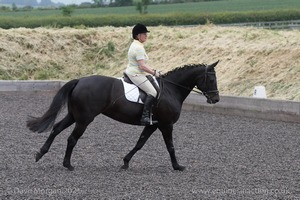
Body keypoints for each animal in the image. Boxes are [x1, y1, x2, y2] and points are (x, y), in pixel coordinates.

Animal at [27, 61, 220, 170]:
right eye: (211, 79)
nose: (216, 99)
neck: (171, 89)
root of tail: (80, 80)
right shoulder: (166, 124)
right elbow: (170, 146)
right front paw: (177, 166)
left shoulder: (153, 125)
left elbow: (140, 143)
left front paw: (126, 162)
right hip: (84, 119)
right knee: (72, 139)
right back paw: (67, 164)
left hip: (74, 115)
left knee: (56, 129)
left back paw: (40, 154)